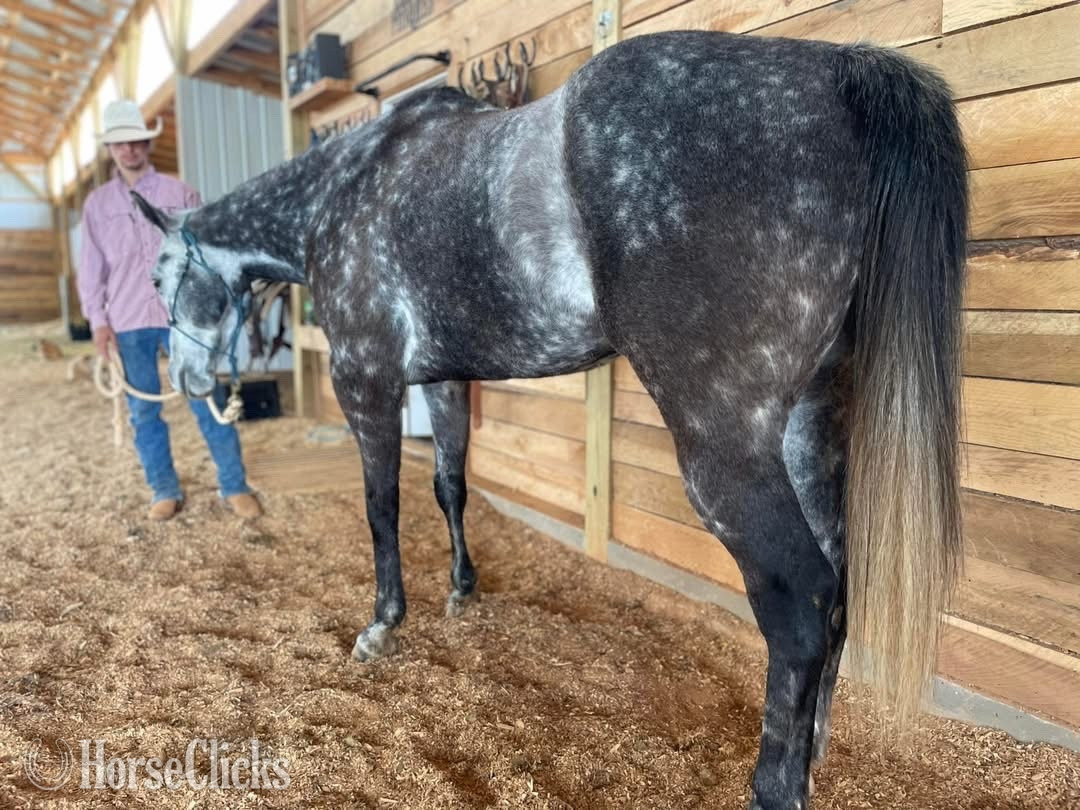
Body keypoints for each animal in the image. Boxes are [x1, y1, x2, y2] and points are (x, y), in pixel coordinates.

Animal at [133, 30, 968, 809]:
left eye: (159, 277)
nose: (189, 381)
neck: (344, 188)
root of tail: (836, 68)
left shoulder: (364, 381)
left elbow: (381, 506)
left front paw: (382, 623)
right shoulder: (444, 382)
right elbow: (450, 486)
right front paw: (462, 590)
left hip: (725, 443)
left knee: (799, 600)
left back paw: (774, 784)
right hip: (811, 422)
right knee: (838, 587)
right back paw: (813, 753)